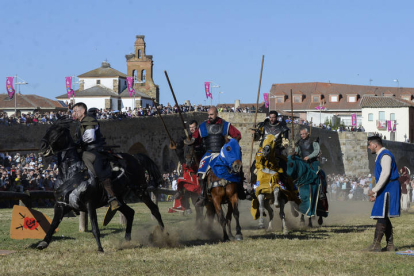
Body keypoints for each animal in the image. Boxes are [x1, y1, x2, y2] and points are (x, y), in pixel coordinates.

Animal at [35, 117, 165, 251]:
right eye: (48, 129)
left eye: (59, 130)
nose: (43, 145)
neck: (70, 172)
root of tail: (135, 158)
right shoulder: (61, 205)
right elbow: (52, 225)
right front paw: (43, 243)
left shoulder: (90, 204)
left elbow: (95, 228)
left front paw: (100, 248)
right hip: (119, 198)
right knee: (130, 213)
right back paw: (127, 240)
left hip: (140, 190)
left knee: (154, 209)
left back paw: (163, 234)